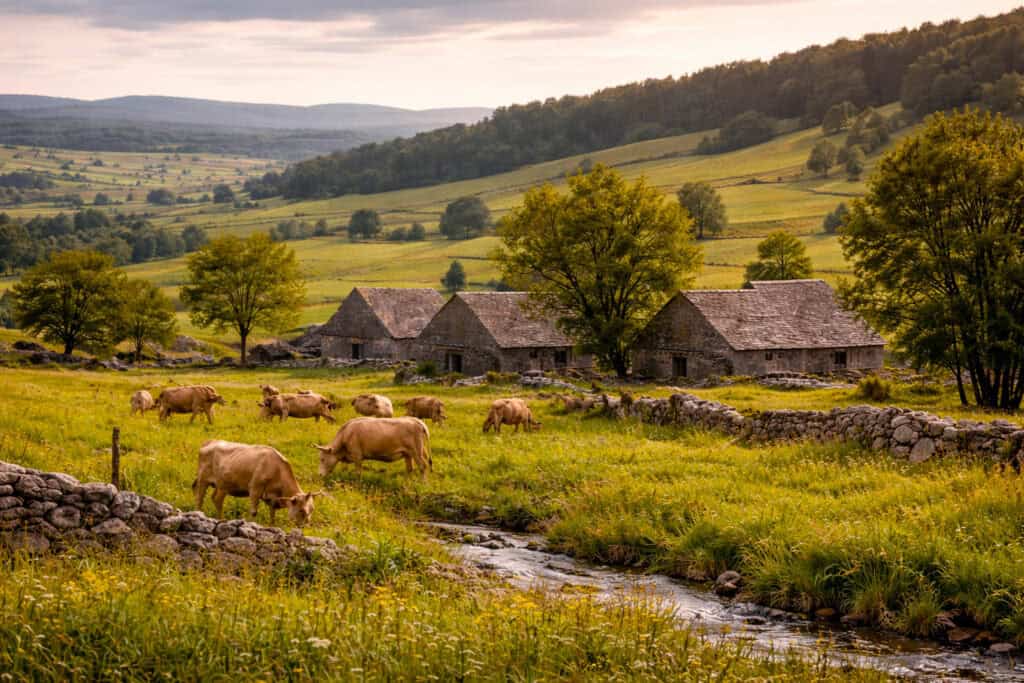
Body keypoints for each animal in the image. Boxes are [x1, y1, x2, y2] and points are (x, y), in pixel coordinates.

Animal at [193, 439, 322, 526]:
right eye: (302, 510)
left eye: (312, 509)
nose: (306, 527)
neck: (276, 468)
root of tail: (210, 441)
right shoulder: (255, 488)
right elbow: (254, 512)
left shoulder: (273, 496)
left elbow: (272, 512)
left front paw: (272, 525)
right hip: (203, 480)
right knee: (200, 498)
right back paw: (200, 514)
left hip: (222, 485)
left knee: (216, 499)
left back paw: (220, 519)